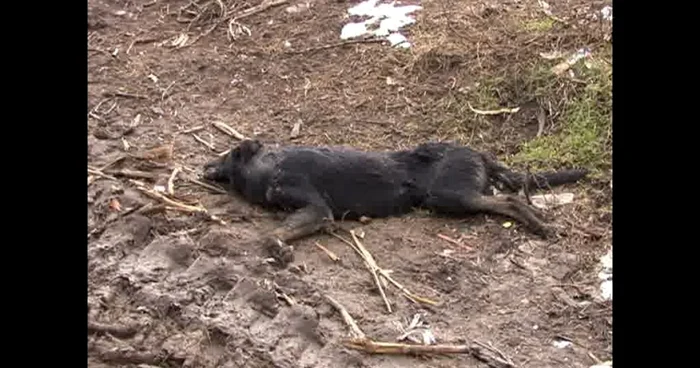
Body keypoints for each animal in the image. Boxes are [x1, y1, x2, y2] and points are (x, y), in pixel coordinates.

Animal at [205, 139, 588, 264]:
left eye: (227, 155)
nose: (206, 167)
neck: (269, 168)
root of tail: (478, 152)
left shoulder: (318, 210)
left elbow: (271, 233)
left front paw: (277, 247)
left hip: (451, 195)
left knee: (510, 199)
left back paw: (540, 226)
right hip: (452, 196)